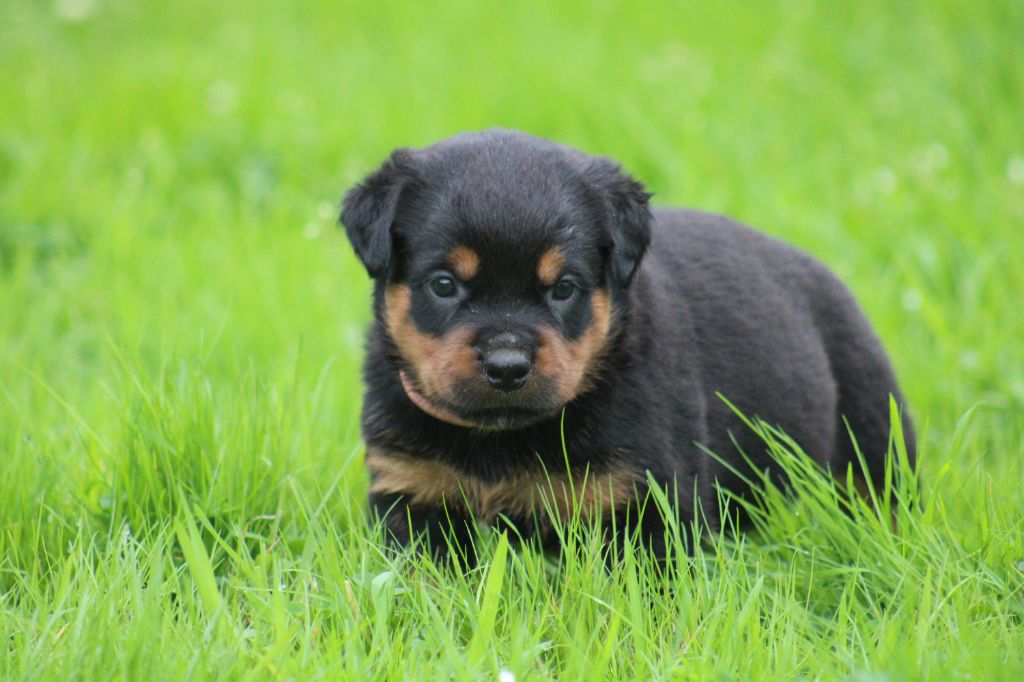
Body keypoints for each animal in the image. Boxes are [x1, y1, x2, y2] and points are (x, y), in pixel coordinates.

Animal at [339, 127, 917, 557]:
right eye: (443, 284)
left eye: (564, 288)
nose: (507, 366)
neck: (498, 439)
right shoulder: (412, 492)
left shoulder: (650, 502)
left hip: (872, 437)